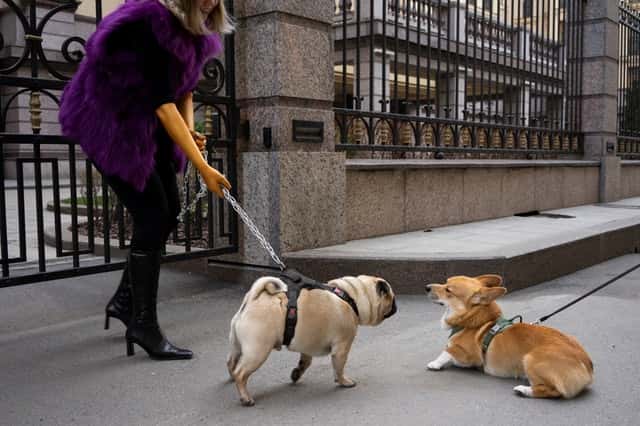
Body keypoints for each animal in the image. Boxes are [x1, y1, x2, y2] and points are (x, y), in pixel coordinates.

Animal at [225, 276, 396, 406]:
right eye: (392, 299)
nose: (396, 307)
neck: (352, 297)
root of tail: (251, 300)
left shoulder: (307, 345)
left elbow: (305, 362)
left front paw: (296, 374)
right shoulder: (342, 347)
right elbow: (339, 367)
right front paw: (343, 381)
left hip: (237, 346)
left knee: (232, 363)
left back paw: (233, 378)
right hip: (258, 350)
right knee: (241, 373)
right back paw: (245, 397)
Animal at [424, 274, 596, 398]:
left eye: (448, 290)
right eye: (444, 282)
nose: (426, 287)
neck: (472, 320)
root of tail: (587, 365)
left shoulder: (470, 356)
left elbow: (447, 351)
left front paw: (435, 363)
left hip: (530, 358)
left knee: (553, 392)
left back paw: (524, 390)